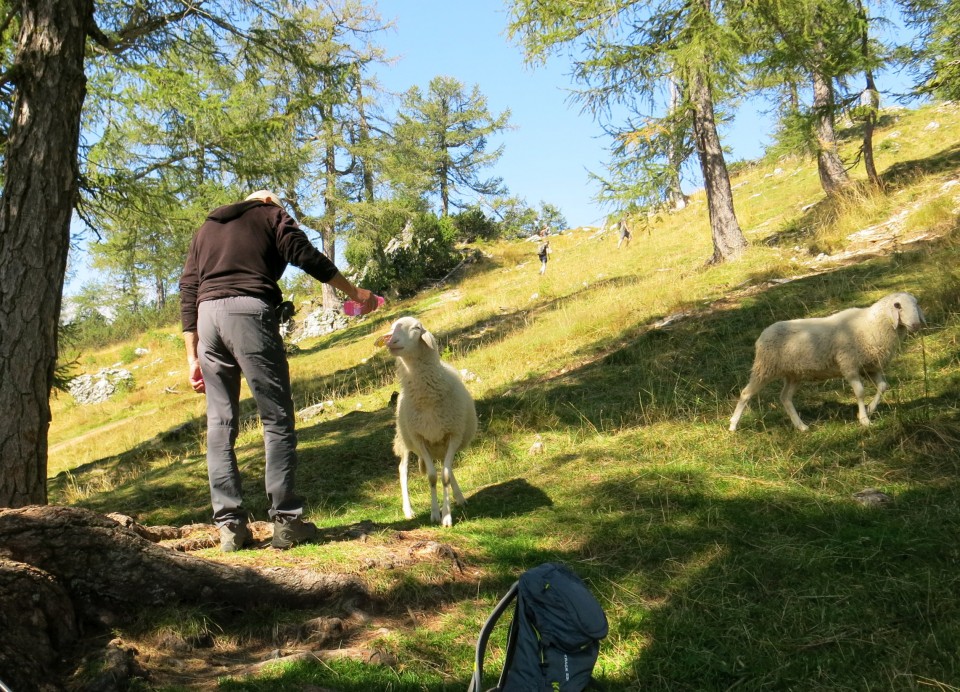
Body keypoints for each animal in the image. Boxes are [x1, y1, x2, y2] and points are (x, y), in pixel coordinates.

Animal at [378, 316, 476, 528]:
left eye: (416, 328)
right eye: (391, 328)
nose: (391, 341)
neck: (427, 398)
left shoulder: (453, 434)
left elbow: (445, 475)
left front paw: (447, 516)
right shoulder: (419, 438)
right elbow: (432, 476)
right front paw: (435, 513)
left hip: (440, 442)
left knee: (447, 469)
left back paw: (459, 497)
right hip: (405, 439)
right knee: (403, 469)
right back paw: (408, 510)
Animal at [732, 292, 928, 432]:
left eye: (916, 303)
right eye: (897, 306)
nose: (916, 325)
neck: (873, 324)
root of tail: (762, 335)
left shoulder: (870, 366)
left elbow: (883, 386)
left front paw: (870, 409)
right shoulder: (849, 365)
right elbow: (860, 392)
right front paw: (864, 419)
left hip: (794, 374)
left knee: (785, 398)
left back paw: (801, 426)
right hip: (765, 368)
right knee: (746, 393)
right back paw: (733, 425)